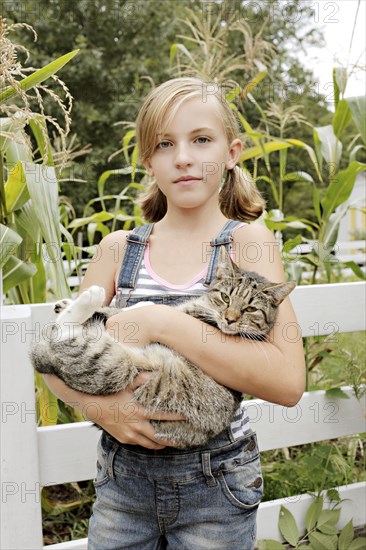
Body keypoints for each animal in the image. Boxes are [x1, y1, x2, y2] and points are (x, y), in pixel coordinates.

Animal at [30, 248, 294, 450]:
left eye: (250, 309)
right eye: (226, 297)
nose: (229, 319)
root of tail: (46, 360)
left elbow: (147, 311)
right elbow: (129, 309)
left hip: (112, 367)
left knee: (64, 335)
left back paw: (89, 300)